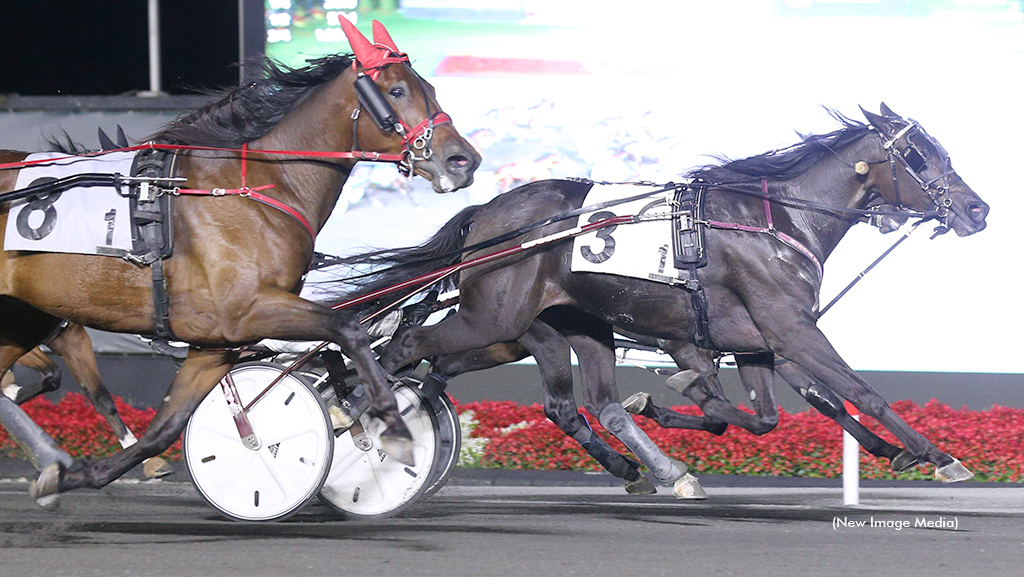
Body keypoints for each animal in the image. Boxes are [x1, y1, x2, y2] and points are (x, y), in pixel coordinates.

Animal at [1, 20, 479, 504]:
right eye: (397, 91)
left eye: (430, 88)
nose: (464, 160)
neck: (260, 188)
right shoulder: (247, 310)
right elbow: (348, 329)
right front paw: (390, 426)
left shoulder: (215, 343)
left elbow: (164, 429)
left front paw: (70, 475)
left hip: (28, 318)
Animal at [346, 105, 991, 483]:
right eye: (921, 155)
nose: (977, 209)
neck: (778, 219)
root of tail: (488, 214)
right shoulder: (790, 329)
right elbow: (859, 391)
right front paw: (938, 456)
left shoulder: (755, 341)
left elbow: (772, 414)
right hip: (495, 318)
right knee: (407, 344)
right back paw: (366, 412)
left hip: (561, 326)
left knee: (582, 402)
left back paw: (649, 464)